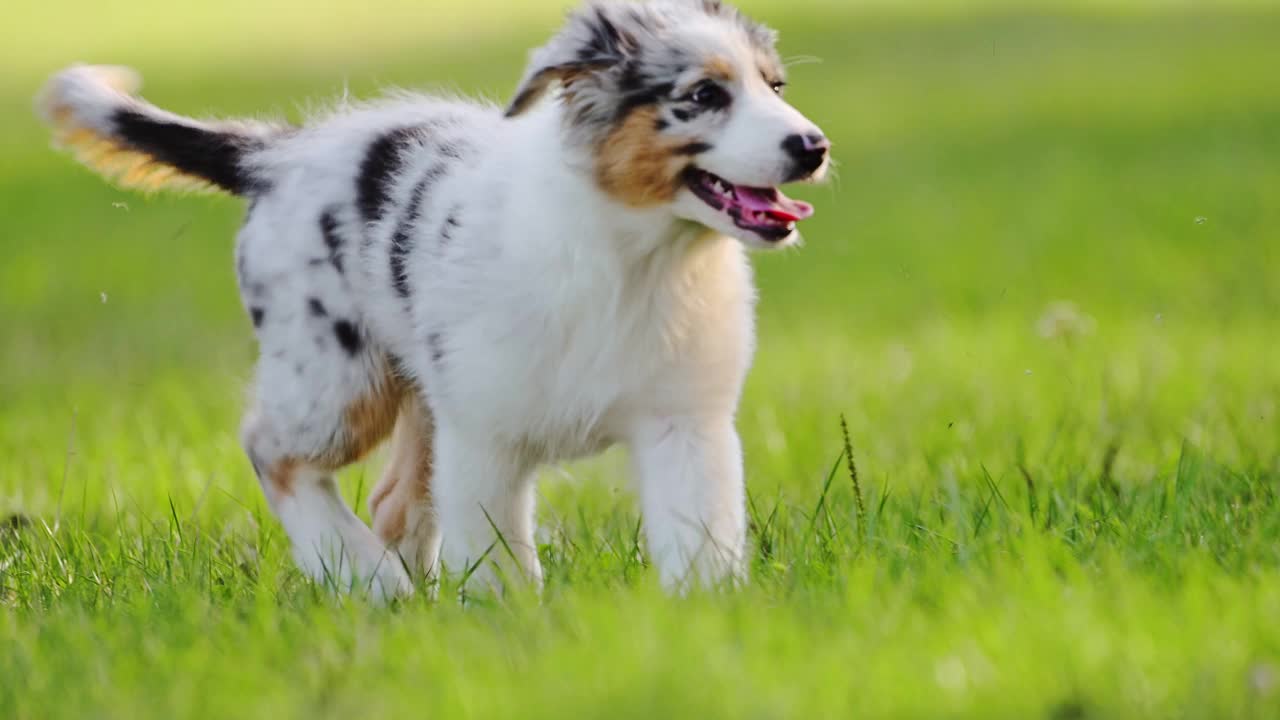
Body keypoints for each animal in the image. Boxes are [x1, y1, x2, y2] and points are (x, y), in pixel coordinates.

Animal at [37, 0, 829, 597]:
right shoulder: (486, 436)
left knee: (390, 500)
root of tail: (277, 155)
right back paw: (364, 575)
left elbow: (699, 542)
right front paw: (511, 629)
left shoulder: (683, 424)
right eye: (704, 96)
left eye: (776, 87)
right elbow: (497, 558)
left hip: (419, 391)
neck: (634, 258)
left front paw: (706, 618)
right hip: (337, 377)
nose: (812, 146)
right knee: (271, 449)